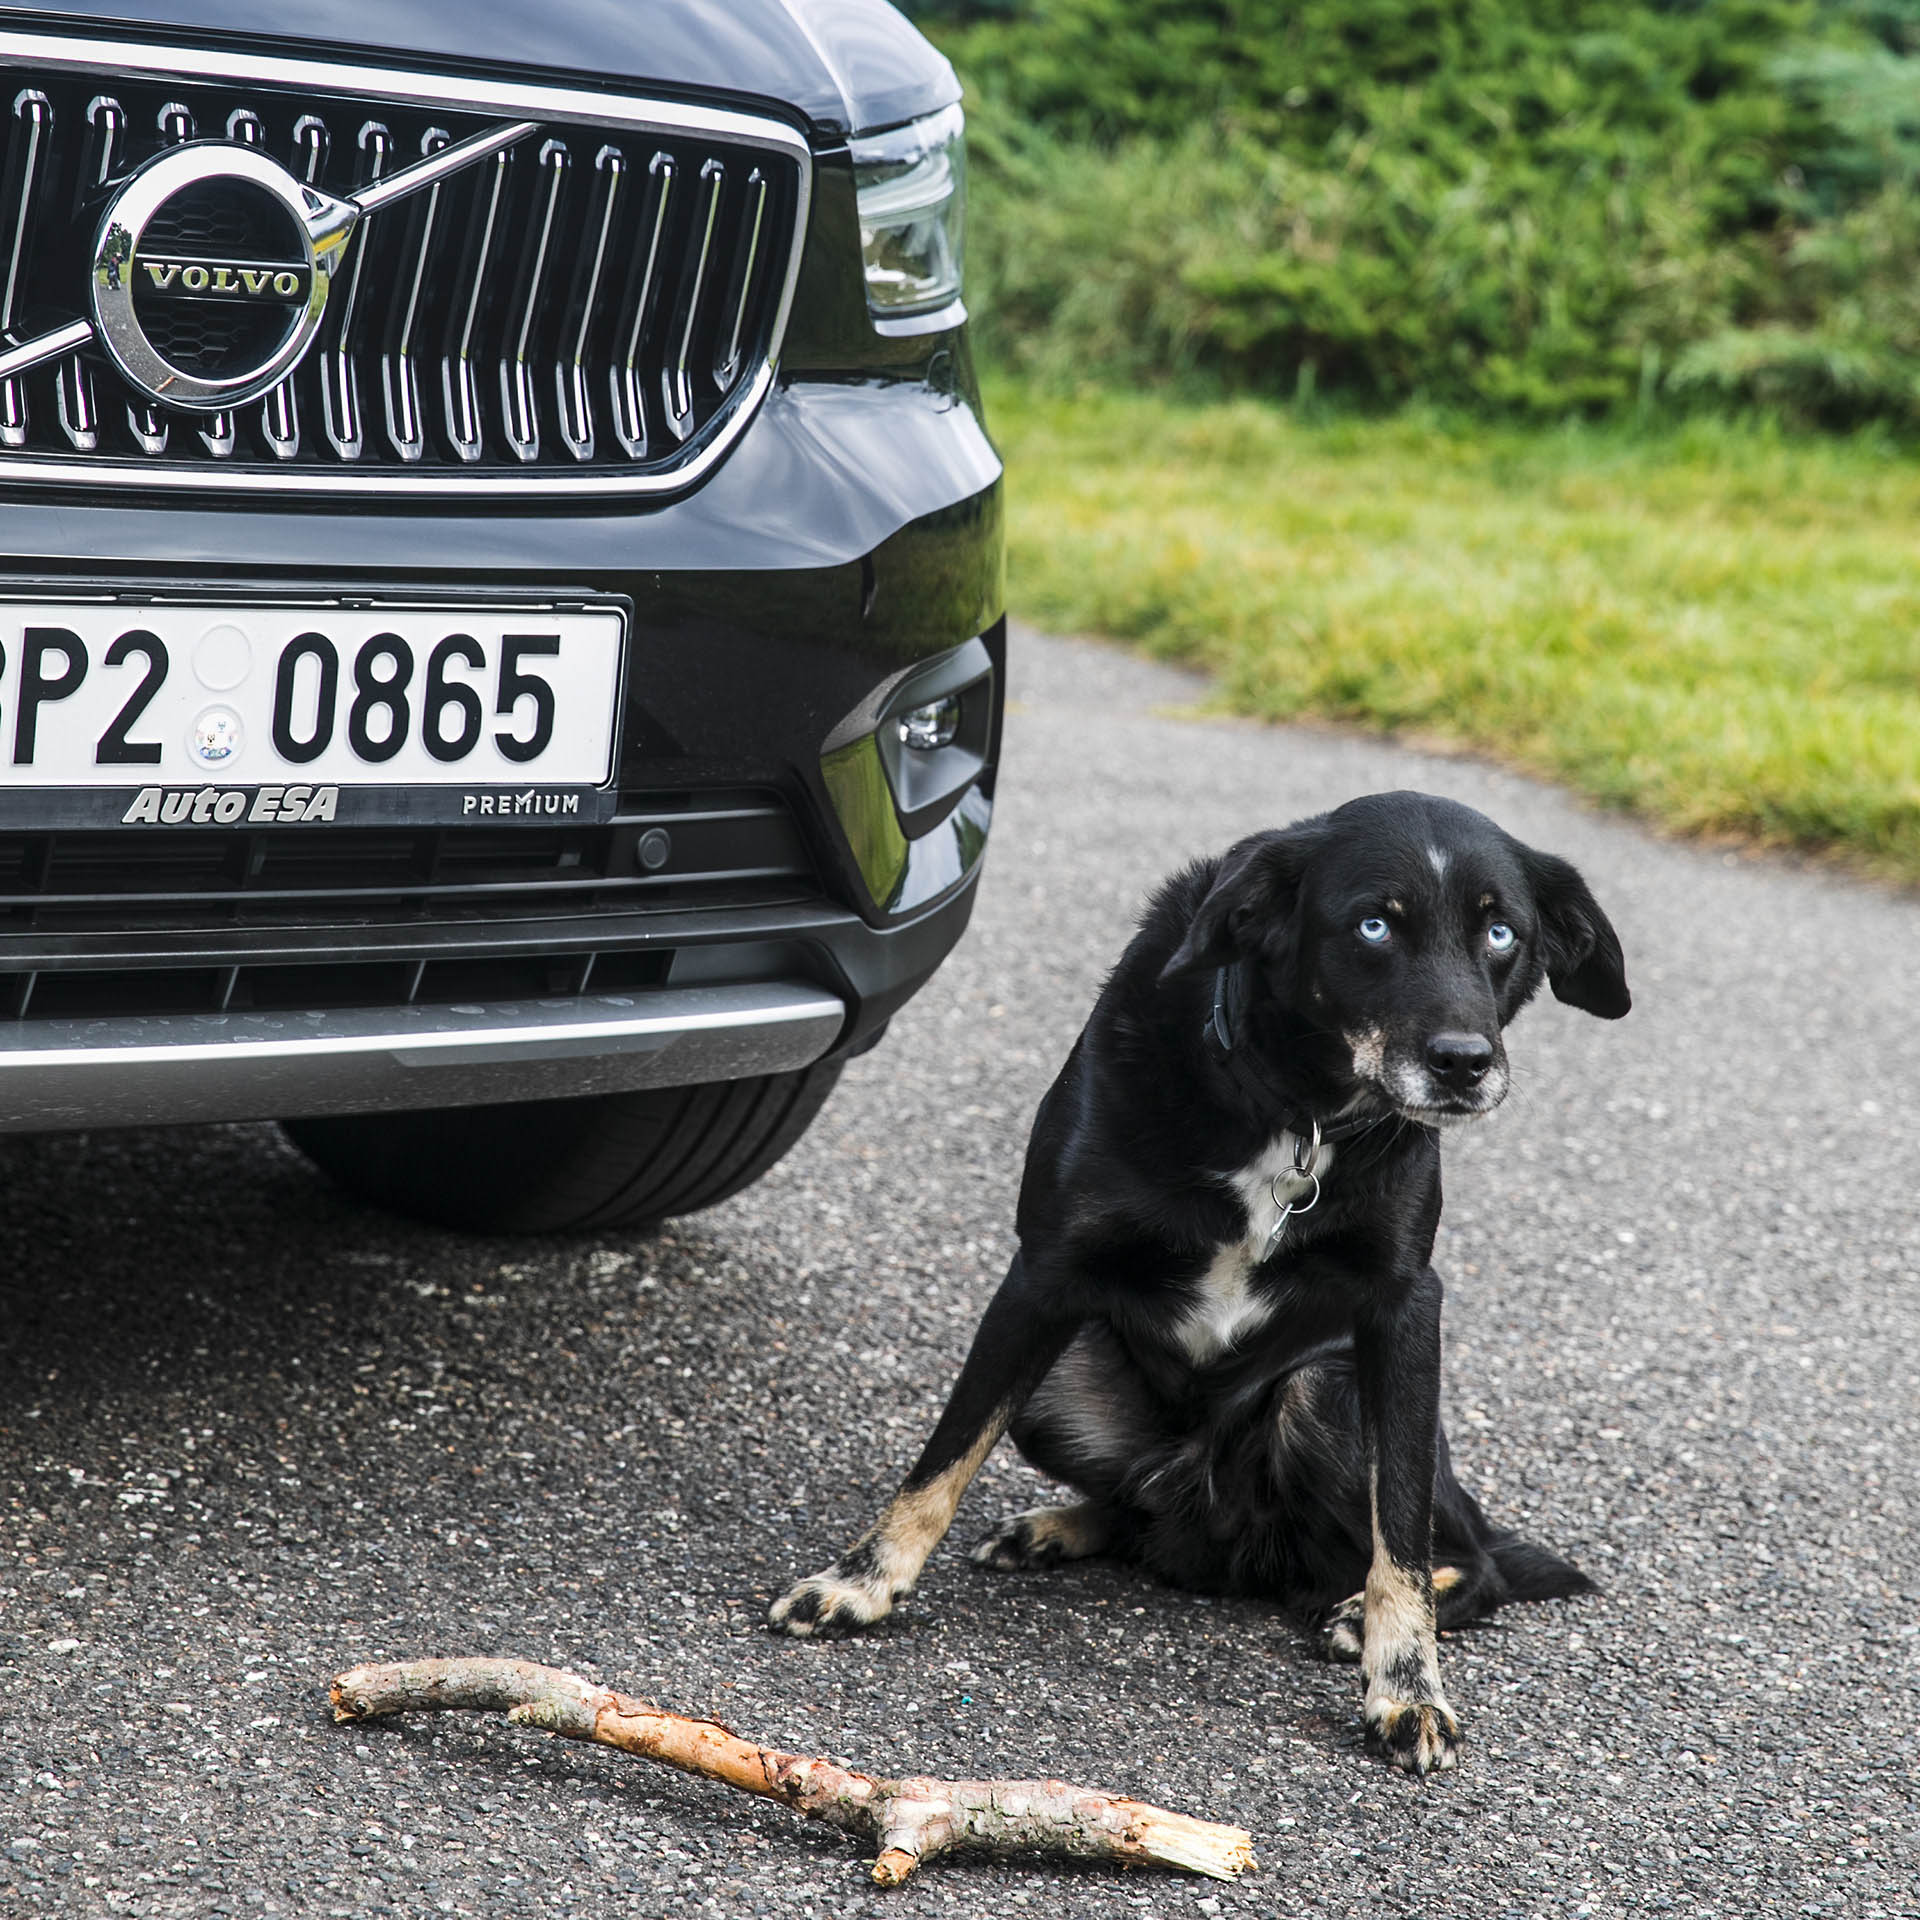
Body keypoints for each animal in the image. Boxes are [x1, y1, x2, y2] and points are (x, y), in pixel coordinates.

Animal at [770, 791, 1629, 1774]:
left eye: (1500, 933)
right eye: (1373, 925)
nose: (1463, 1063)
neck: (1296, 1110)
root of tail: (1222, 1543)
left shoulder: (1407, 1307)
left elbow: (1401, 1527)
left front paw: (1407, 1686)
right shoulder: (1044, 1276)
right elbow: (945, 1453)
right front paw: (860, 1582)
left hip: (1325, 1389)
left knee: (1464, 1553)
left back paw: (1356, 1614)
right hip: (1062, 1387)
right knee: (1132, 1514)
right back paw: (1059, 1527)